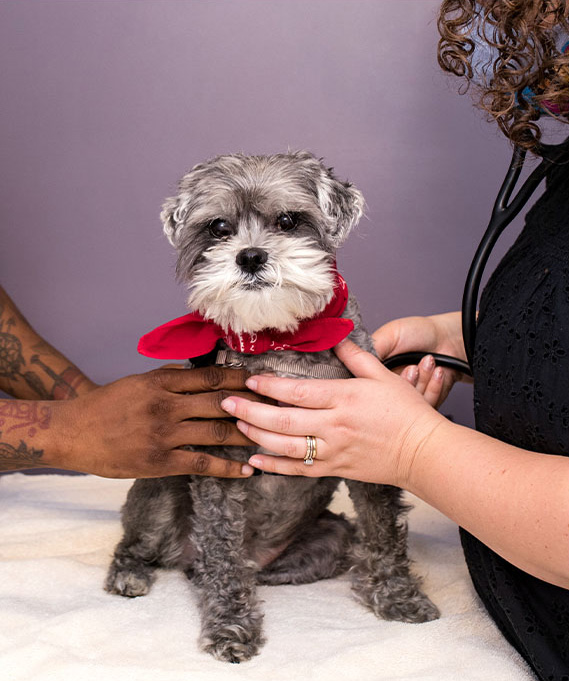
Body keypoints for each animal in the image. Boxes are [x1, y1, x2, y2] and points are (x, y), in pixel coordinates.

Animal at [104, 151, 438, 660]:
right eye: (219, 227)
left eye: (288, 220)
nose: (250, 255)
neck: (280, 339)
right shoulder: (220, 459)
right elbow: (222, 549)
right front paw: (230, 625)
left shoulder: (369, 453)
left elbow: (383, 532)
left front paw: (398, 596)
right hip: (162, 489)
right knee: (147, 546)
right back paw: (132, 574)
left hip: (330, 537)